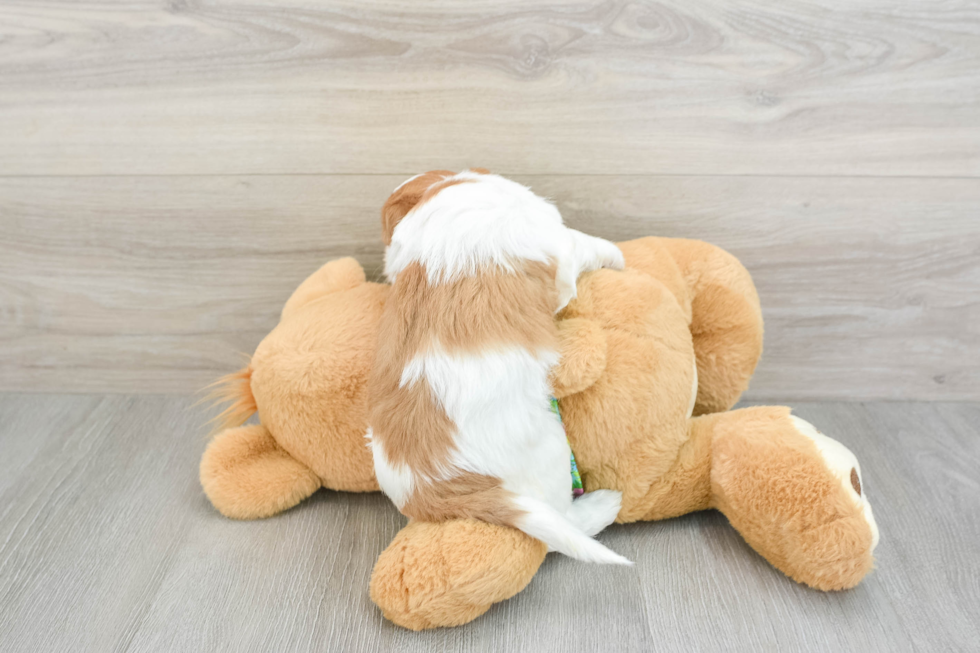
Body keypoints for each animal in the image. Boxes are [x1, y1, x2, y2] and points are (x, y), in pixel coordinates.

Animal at [366, 171, 628, 564]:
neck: (442, 194)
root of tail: (430, 491)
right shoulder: (557, 244)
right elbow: (585, 246)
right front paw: (617, 255)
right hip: (550, 449)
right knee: (561, 526)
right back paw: (605, 504)